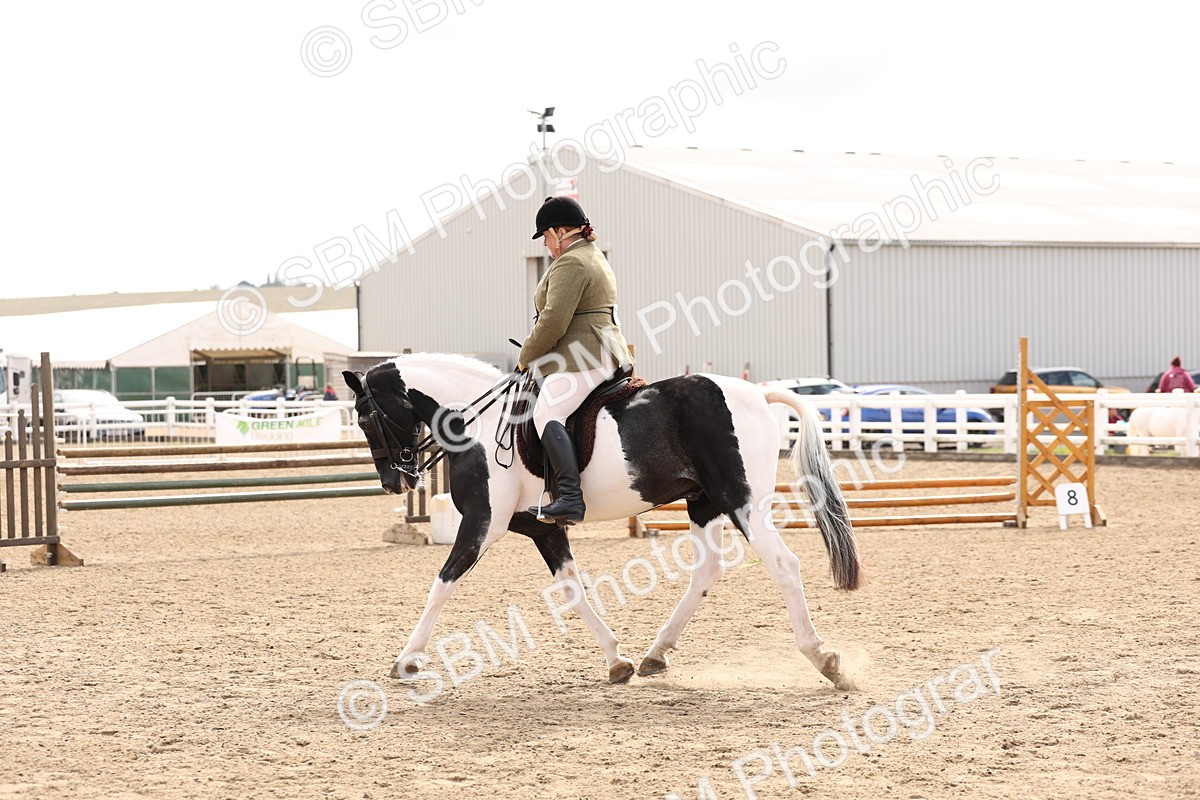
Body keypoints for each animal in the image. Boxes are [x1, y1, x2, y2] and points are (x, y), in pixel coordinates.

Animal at [343, 353, 862, 689]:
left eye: (365, 418)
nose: (394, 482)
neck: (477, 423)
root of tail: (757, 391)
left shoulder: (483, 523)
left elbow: (442, 583)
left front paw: (406, 661)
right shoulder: (541, 526)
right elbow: (573, 589)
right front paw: (617, 660)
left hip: (742, 503)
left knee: (784, 565)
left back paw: (825, 660)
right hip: (704, 504)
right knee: (706, 573)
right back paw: (656, 653)